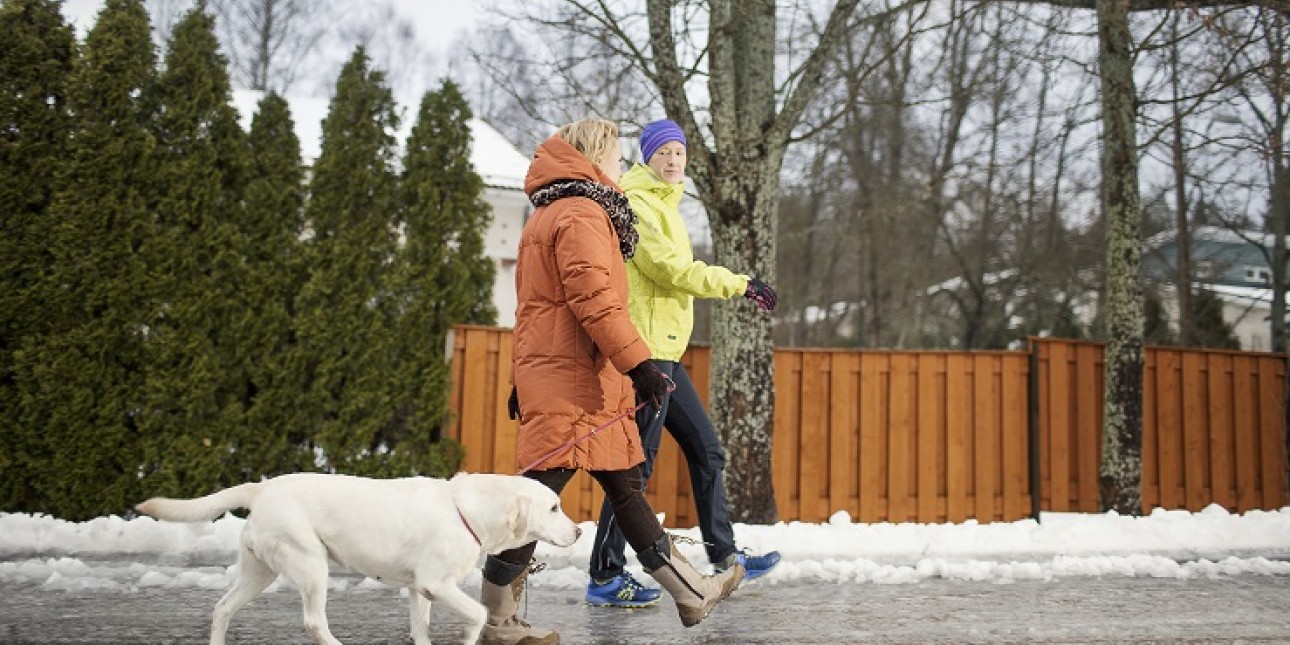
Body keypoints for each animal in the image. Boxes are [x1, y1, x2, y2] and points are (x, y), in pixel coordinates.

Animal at [136, 472, 580, 645]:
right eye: (554, 507)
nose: (577, 532)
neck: (468, 511)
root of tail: (262, 489)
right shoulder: (436, 585)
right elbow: (478, 613)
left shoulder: (419, 590)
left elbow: (420, 628)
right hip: (311, 564)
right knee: (314, 622)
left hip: (259, 572)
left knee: (222, 607)